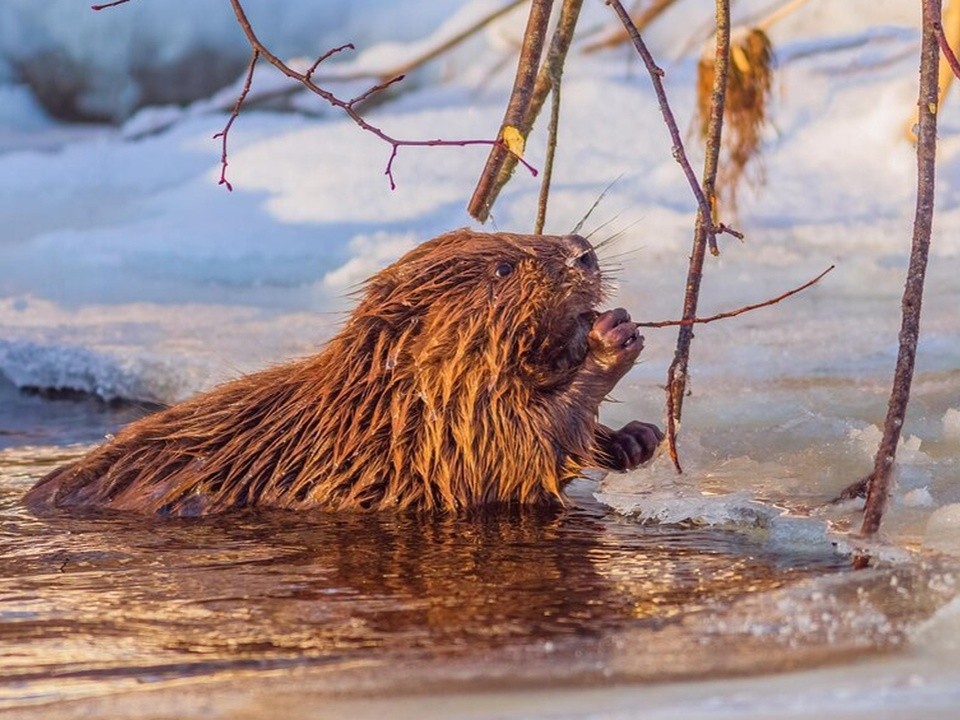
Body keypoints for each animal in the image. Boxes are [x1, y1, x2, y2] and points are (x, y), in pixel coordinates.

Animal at [26, 228, 664, 516]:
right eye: (504, 268)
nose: (583, 250)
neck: (377, 405)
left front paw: (636, 438)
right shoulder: (436, 435)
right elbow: (513, 452)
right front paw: (612, 339)